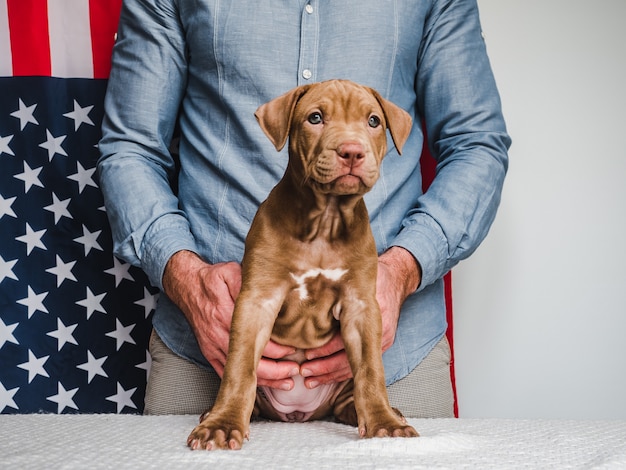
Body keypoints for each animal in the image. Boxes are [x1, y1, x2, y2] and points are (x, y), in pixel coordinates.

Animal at [188, 79, 416, 450]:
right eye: (315, 118)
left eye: (373, 121)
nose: (351, 151)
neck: (325, 221)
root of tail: (298, 413)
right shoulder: (257, 301)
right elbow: (239, 368)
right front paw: (222, 425)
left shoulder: (361, 307)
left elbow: (371, 370)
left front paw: (384, 422)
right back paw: (214, 414)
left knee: (350, 395)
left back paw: (373, 413)